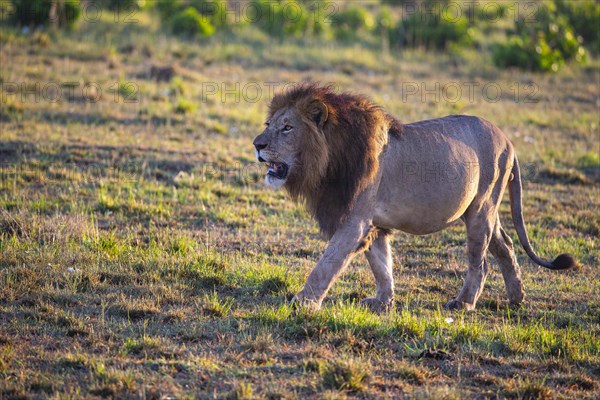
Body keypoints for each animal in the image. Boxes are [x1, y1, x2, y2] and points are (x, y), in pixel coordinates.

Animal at [251, 83, 576, 310]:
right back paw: (517, 298)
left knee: (480, 263)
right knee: (506, 246)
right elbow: (381, 264)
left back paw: (464, 303)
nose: (257, 144)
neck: (329, 159)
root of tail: (508, 139)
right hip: (483, 211)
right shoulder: (373, 223)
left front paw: (303, 302)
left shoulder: (354, 220)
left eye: (287, 128)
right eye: (268, 125)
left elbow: (327, 263)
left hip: (481, 208)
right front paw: (382, 302)